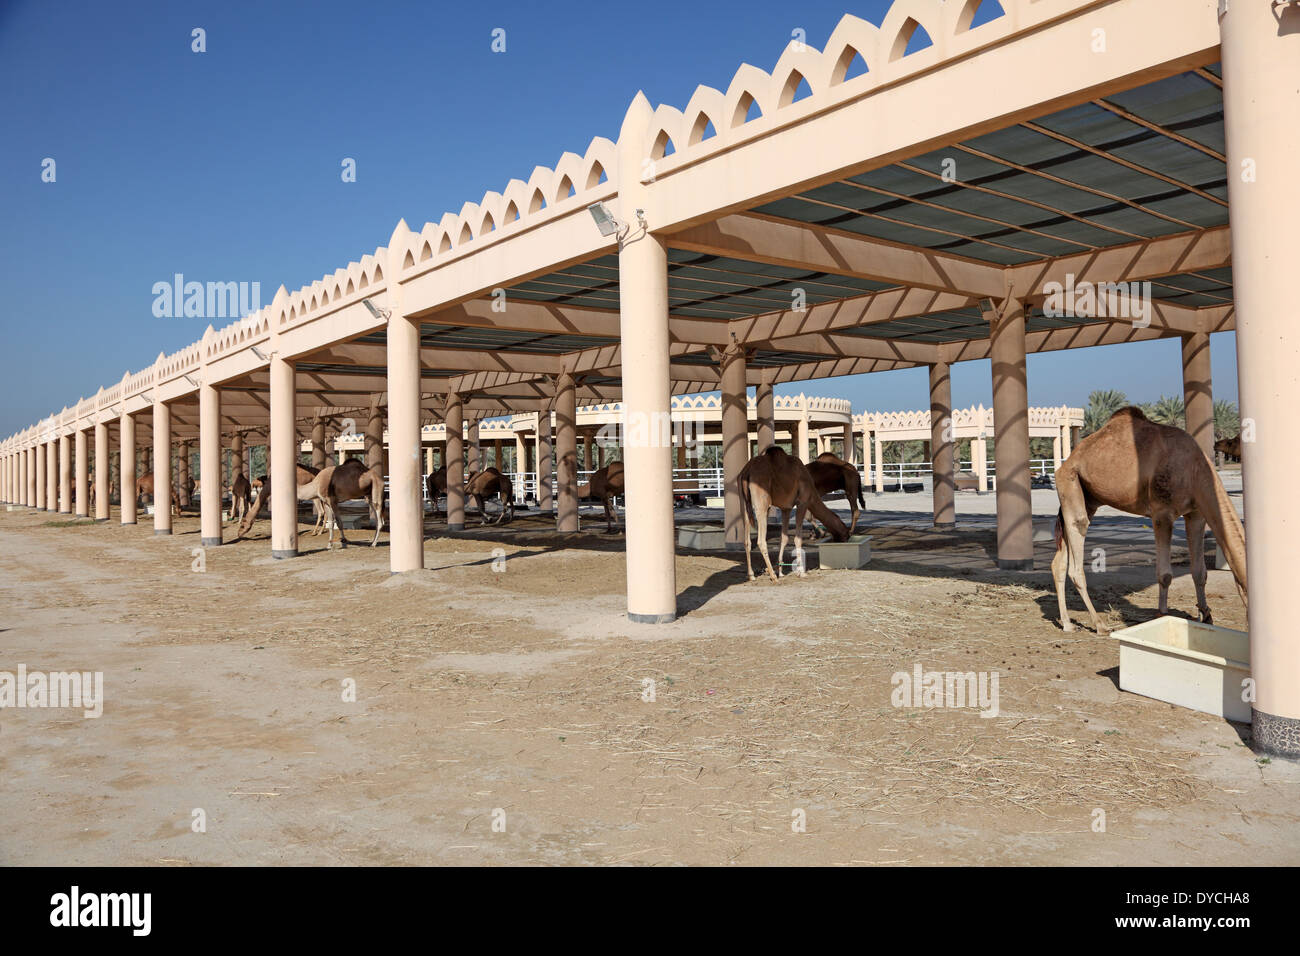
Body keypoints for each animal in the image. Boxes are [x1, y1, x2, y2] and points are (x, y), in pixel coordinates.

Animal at [743, 447, 852, 582]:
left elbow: (784, 538)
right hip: (762, 504)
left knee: (747, 540)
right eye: (845, 532)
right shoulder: (803, 502)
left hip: (745, 503)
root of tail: (746, 472)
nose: (846, 539)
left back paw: (752, 575)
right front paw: (801, 572)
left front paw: (781, 572)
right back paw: (773, 576)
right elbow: (797, 538)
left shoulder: (786, 508)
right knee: (761, 540)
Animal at [1045, 405, 1248, 634]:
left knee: (1059, 561)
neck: (1194, 469)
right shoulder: (1162, 513)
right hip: (1070, 483)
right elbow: (1165, 574)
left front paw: (1206, 615)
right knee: (1077, 544)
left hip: (1088, 498)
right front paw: (1162, 614)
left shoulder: (1195, 513)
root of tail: (1066, 463)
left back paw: (1067, 623)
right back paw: (1099, 624)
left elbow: (1199, 572)